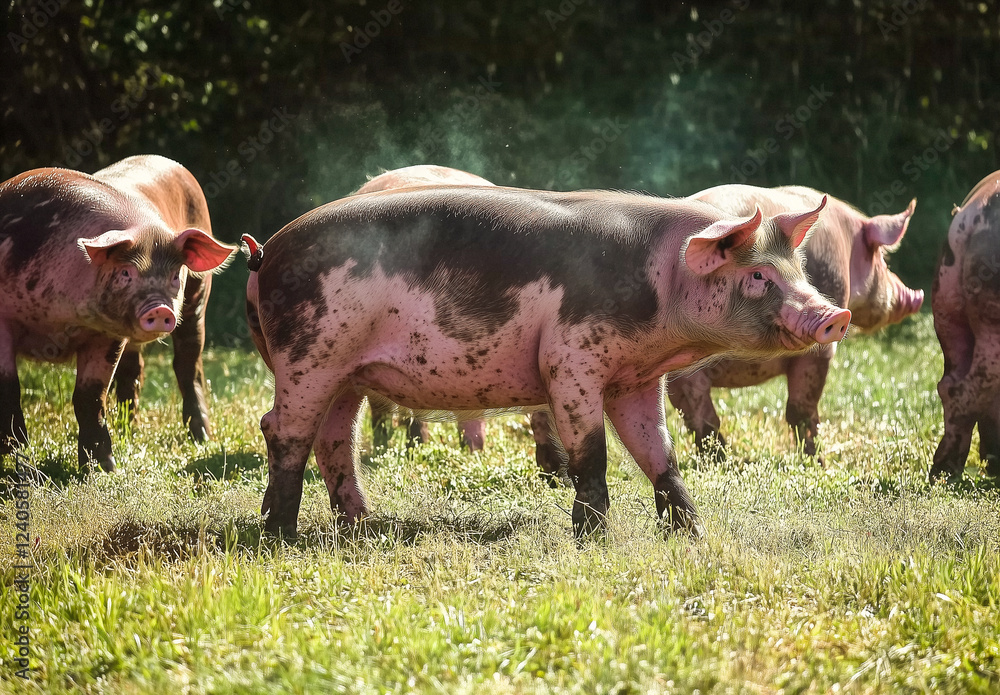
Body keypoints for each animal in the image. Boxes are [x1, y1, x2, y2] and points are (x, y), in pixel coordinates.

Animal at [0, 156, 236, 474]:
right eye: (126, 272)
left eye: (175, 275)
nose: (159, 308)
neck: (56, 322)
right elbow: (9, 391)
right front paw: (17, 458)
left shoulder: (107, 334)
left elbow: (90, 396)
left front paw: (104, 469)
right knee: (135, 369)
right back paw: (130, 430)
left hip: (198, 298)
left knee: (188, 364)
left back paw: (200, 437)